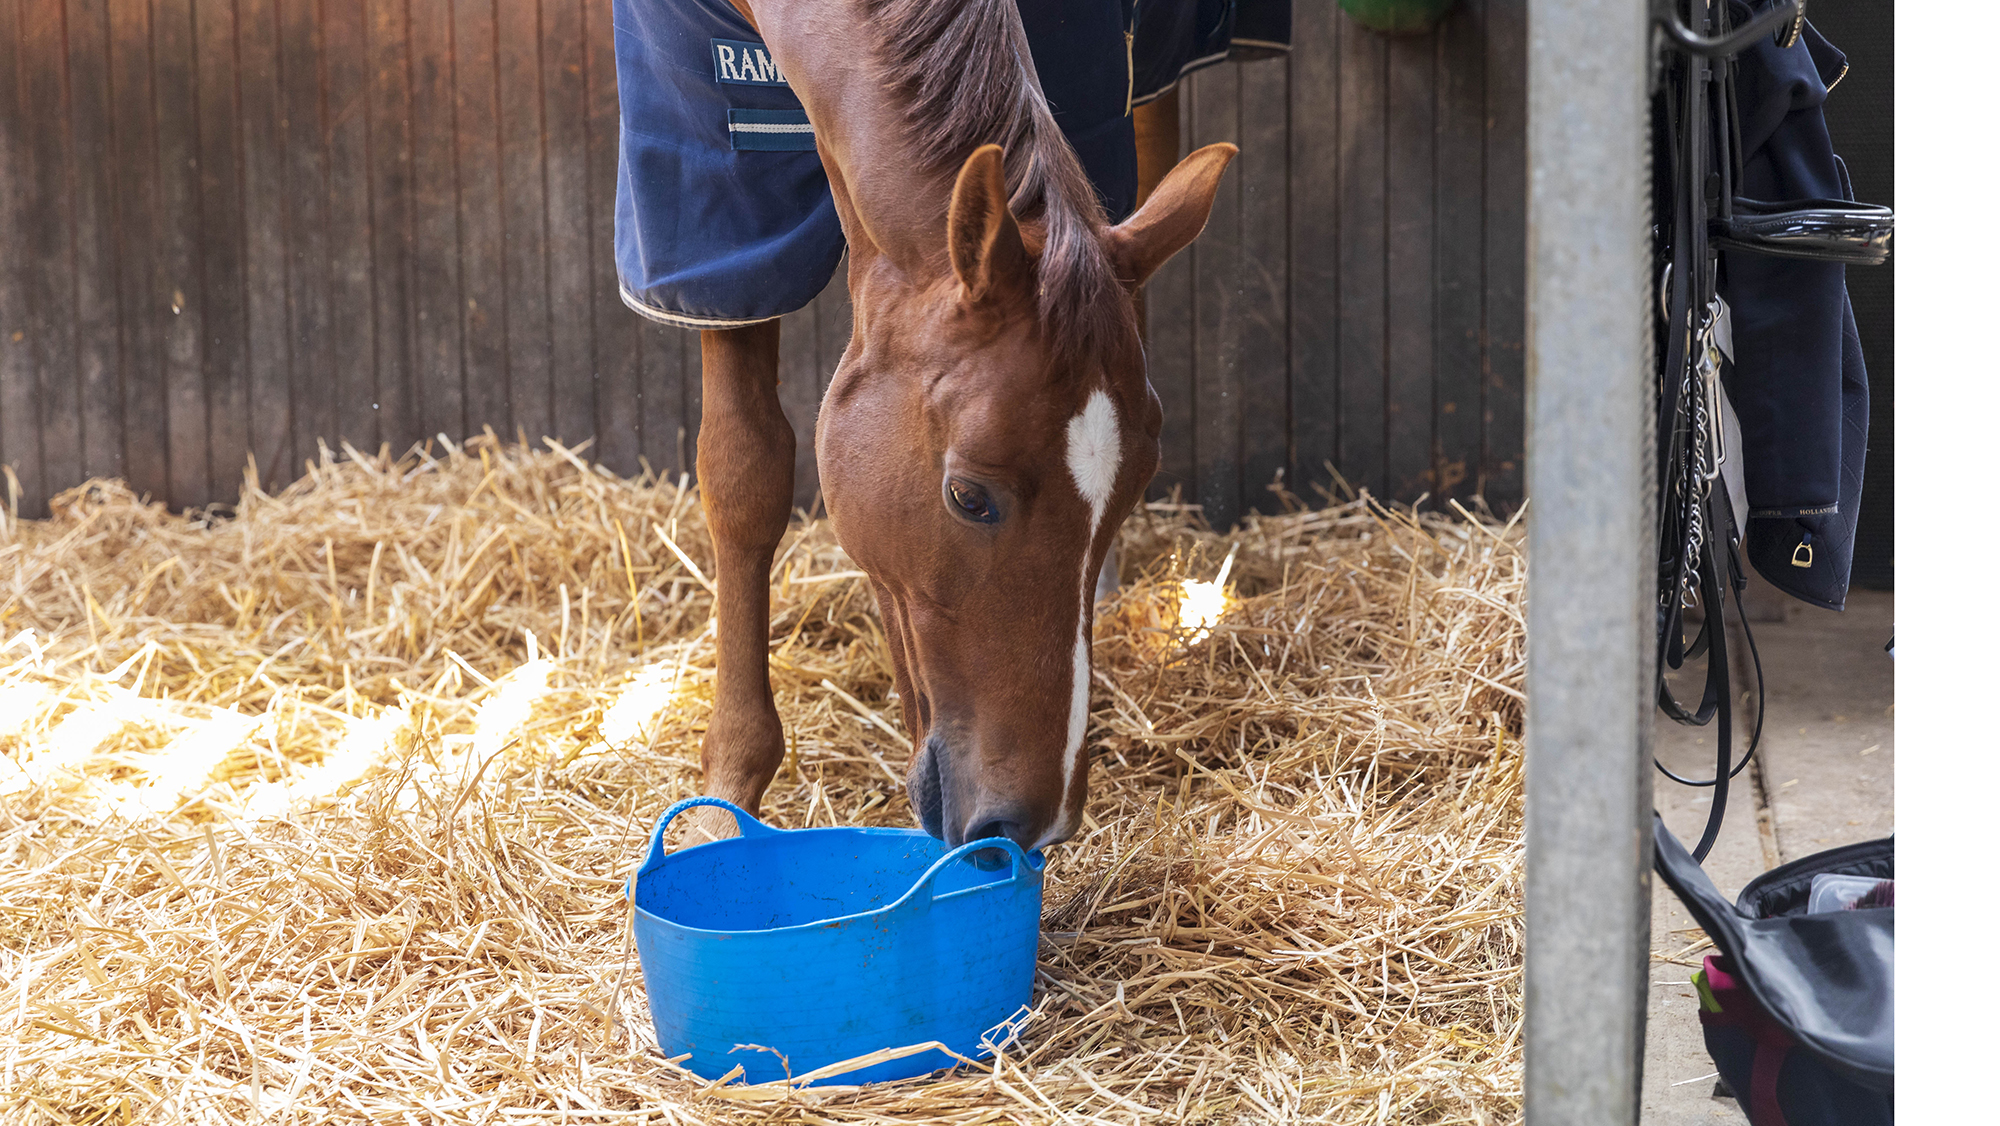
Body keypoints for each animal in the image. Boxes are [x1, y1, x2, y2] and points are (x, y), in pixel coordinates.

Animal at [624, 0, 1238, 853]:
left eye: (1133, 490)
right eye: (969, 498)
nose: (1029, 824)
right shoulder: (712, 157)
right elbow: (744, 477)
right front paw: (726, 793)